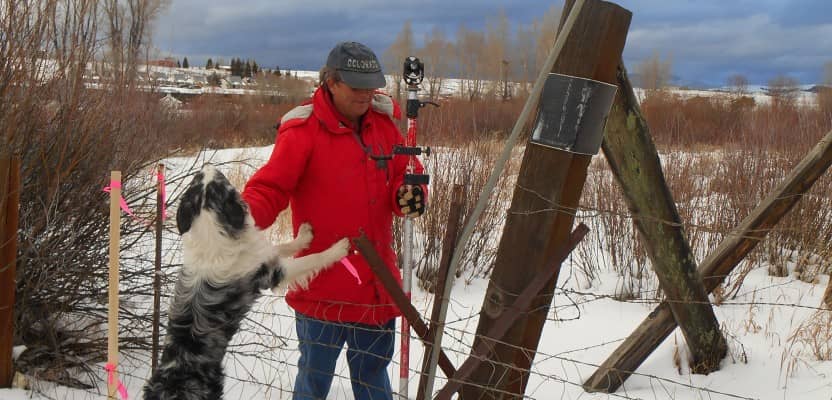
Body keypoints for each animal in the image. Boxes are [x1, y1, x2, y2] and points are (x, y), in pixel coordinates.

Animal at [143, 164, 348, 398]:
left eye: (197, 181)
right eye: (220, 184)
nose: (208, 166)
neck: (210, 227)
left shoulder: (261, 256)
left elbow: (283, 247)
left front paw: (304, 236)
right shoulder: (272, 274)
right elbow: (311, 259)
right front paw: (339, 249)